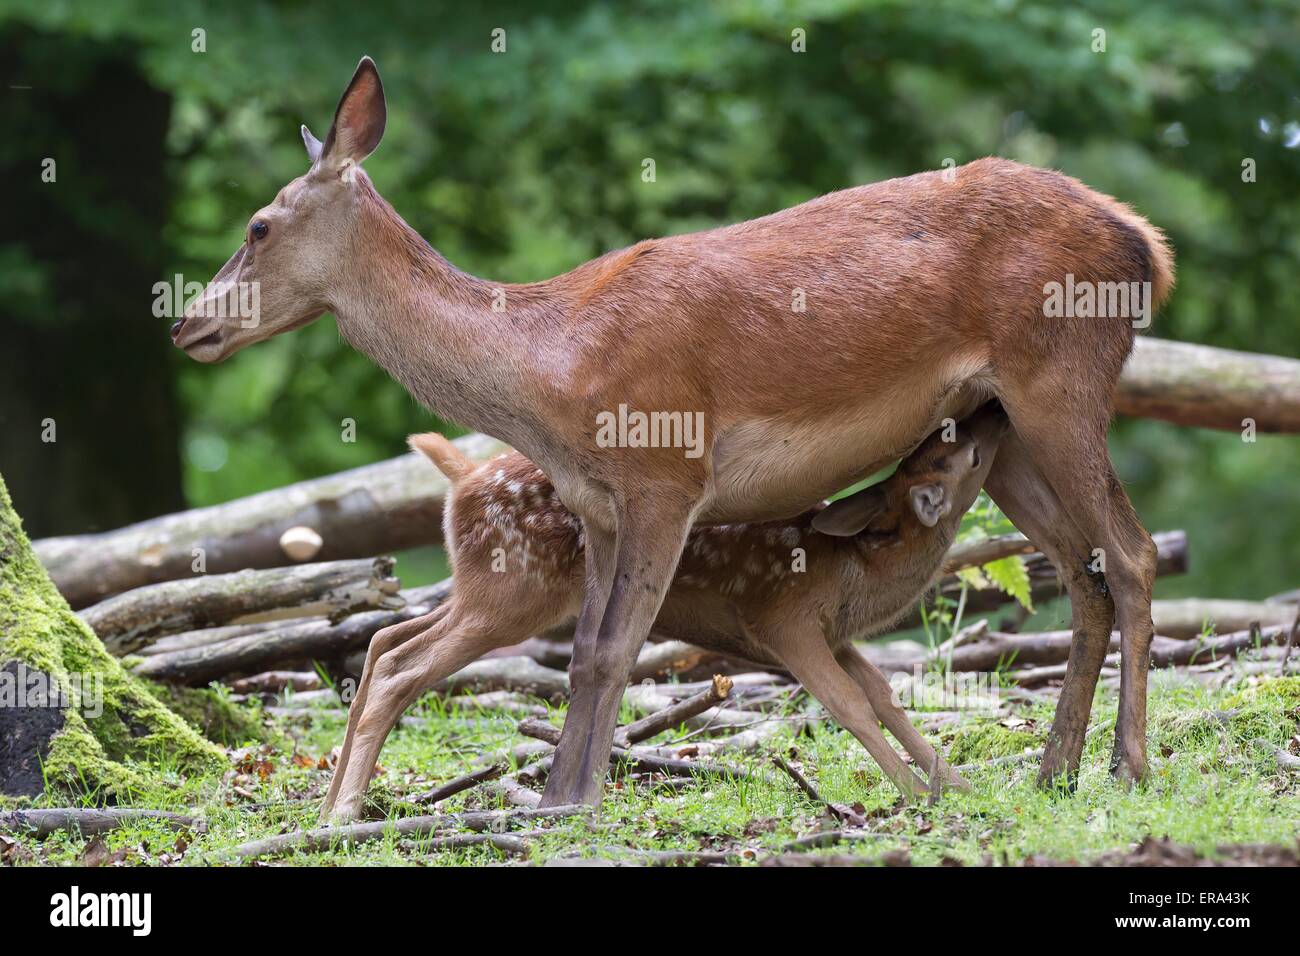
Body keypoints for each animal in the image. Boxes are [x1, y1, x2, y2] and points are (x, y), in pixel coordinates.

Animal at [172, 55, 1180, 816]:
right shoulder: (598, 505)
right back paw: (1055, 772)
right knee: (1083, 570)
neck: (551, 378)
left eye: (258, 225)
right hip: (1003, 432)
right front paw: (559, 798)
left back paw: (1127, 767)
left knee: (1130, 552)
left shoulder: (666, 473)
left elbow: (614, 649)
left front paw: (572, 802)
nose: (187, 325)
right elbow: (587, 651)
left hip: (1060, 378)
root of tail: (1147, 246)